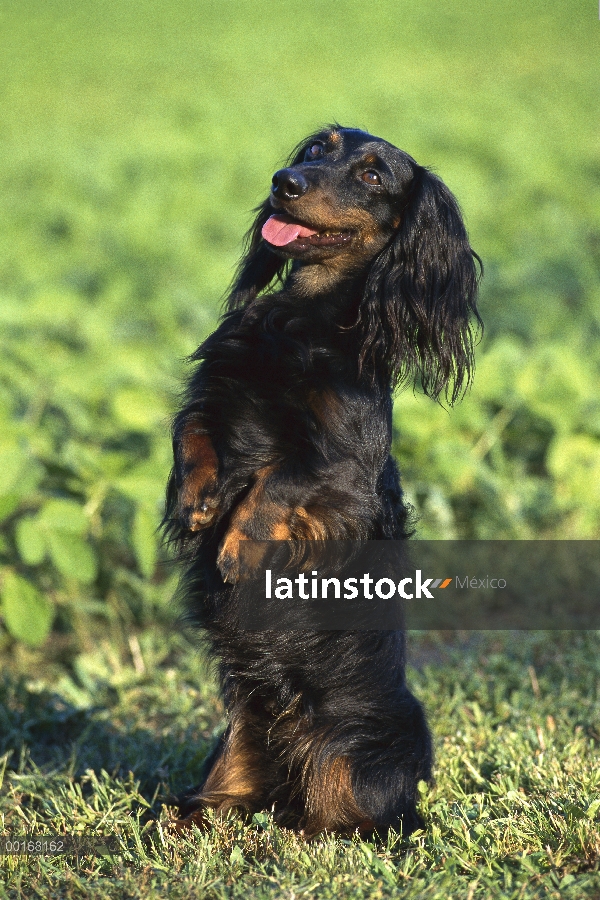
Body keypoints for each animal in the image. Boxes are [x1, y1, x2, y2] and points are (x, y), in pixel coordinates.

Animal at [164, 125, 482, 836]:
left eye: (372, 175)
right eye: (317, 149)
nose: (285, 182)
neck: (304, 319)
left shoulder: (340, 465)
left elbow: (279, 481)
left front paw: (235, 548)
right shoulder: (212, 395)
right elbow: (190, 433)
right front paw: (195, 504)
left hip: (348, 752)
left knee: (351, 819)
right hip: (236, 738)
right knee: (229, 799)